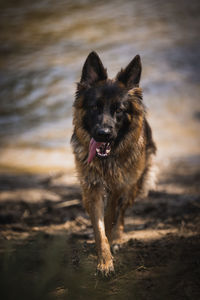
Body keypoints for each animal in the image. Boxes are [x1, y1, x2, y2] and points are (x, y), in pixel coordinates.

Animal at [70, 51, 156, 274]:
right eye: (95, 107)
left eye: (119, 110)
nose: (103, 134)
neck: (105, 161)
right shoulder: (92, 187)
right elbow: (99, 228)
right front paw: (104, 261)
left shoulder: (118, 186)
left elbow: (109, 216)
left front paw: (111, 240)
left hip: (133, 184)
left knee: (122, 211)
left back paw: (117, 237)